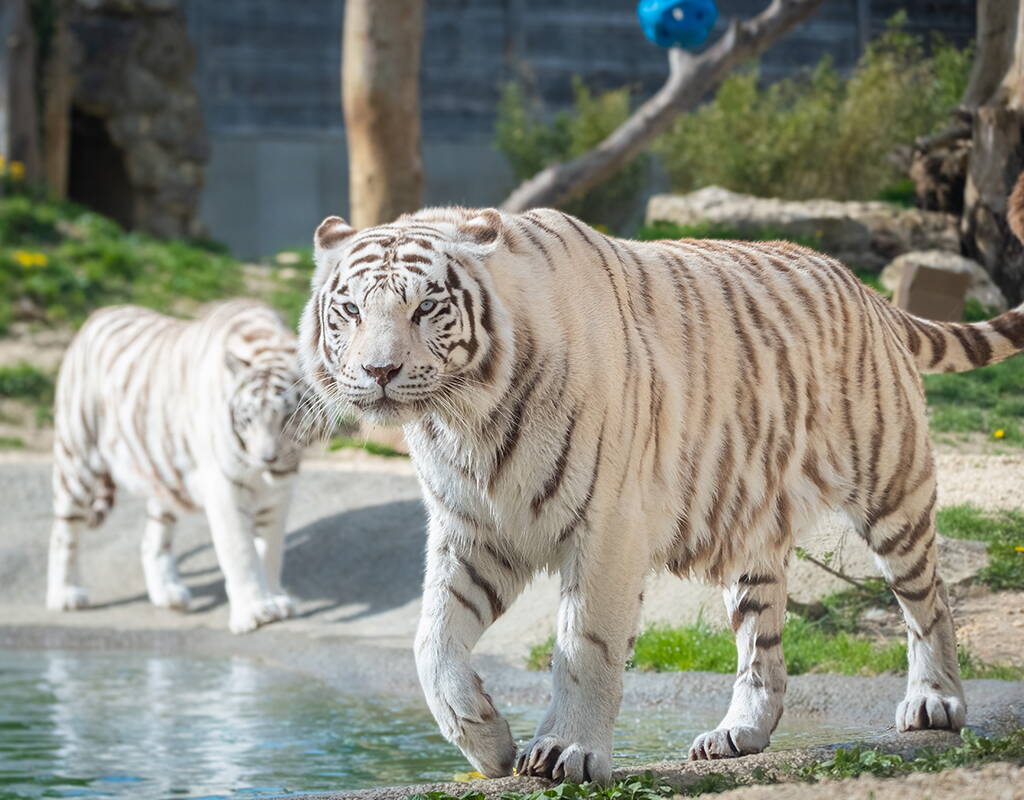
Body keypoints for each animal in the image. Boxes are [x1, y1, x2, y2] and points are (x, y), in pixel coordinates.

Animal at [46, 297, 307, 635]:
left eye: (287, 418)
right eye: (247, 418)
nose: (266, 459)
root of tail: (98, 313)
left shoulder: (279, 495)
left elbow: (271, 550)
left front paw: (276, 600)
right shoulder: (225, 489)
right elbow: (241, 551)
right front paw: (254, 612)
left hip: (163, 474)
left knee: (151, 541)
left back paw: (168, 595)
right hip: (77, 460)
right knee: (64, 532)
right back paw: (65, 595)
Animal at [296, 201, 1024, 778]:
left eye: (426, 307)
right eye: (351, 309)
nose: (379, 371)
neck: (465, 419)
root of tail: (864, 289)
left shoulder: (606, 527)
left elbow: (583, 646)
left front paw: (566, 752)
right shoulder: (473, 530)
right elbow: (431, 644)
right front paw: (487, 743)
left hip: (891, 488)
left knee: (929, 600)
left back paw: (935, 704)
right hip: (754, 526)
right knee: (762, 643)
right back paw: (738, 733)